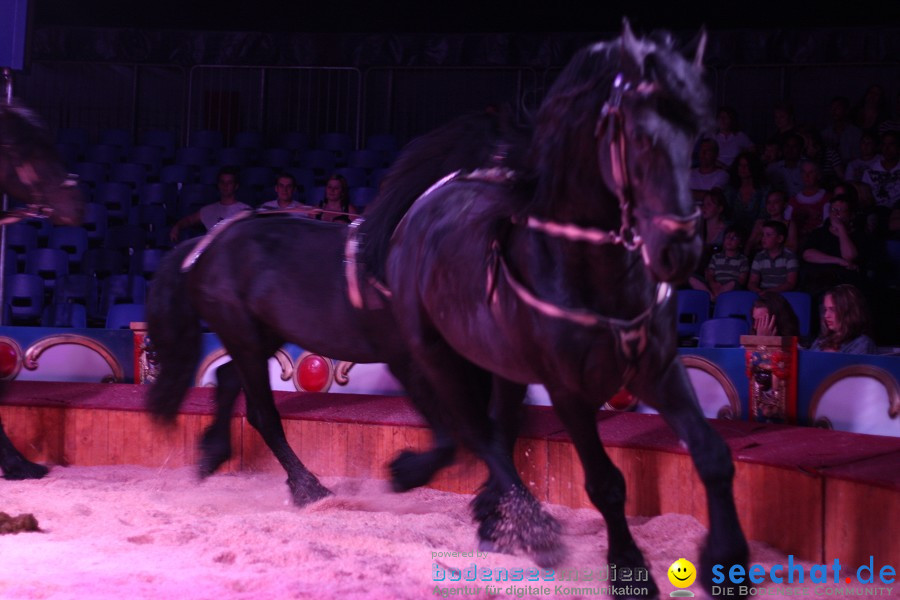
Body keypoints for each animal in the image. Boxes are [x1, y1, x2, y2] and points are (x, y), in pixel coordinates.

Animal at [145, 108, 531, 506]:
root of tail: (203, 247)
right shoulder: (410, 361)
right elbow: (455, 434)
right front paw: (406, 474)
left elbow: (488, 425)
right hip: (243, 336)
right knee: (261, 413)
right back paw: (308, 487)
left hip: (262, 336)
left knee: (226, 380)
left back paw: (213, 455)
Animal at [385, 25, 749, 598]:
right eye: (639, 139)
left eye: (695, 139)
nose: (681, 250)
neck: (589, 268)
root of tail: (427, 202)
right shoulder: (568, 390)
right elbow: (605, 483)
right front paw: (629, 567)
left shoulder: (659, 368)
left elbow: (712, 455)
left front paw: (726, 560)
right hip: (436, 353)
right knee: (478, 434)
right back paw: (525, 526)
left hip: (503, 363)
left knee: (498, 428)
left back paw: (496, 519)